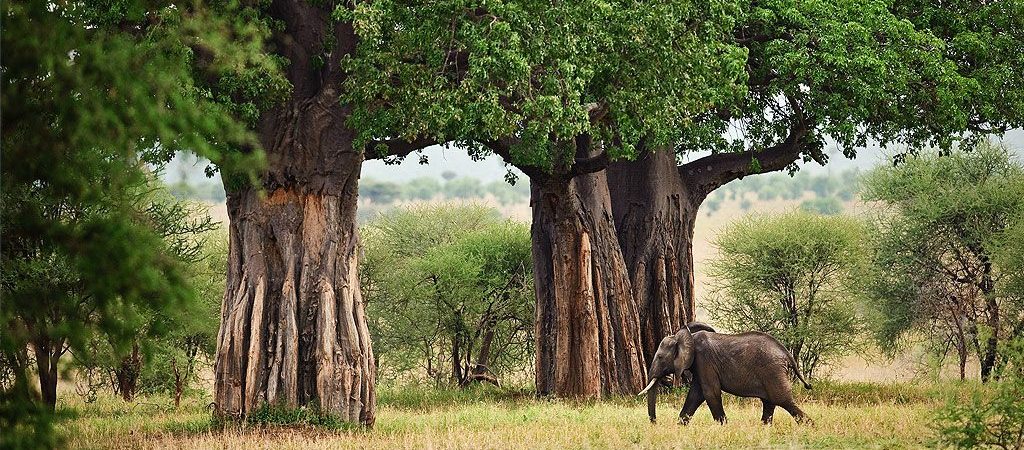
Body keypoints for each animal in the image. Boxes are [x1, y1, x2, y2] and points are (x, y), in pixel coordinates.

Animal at [638, 323, 812, 425]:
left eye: (660, 357)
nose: (655, 423)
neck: (688, 337)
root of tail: (786, 354)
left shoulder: (704, 360)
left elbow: (710, 393)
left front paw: (724, 426)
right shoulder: (699, 366)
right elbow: (695, 395)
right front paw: (681, 425)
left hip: (772, 371)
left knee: (782, 400)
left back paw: (809, 426)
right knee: (769, 402)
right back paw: (764, 428)